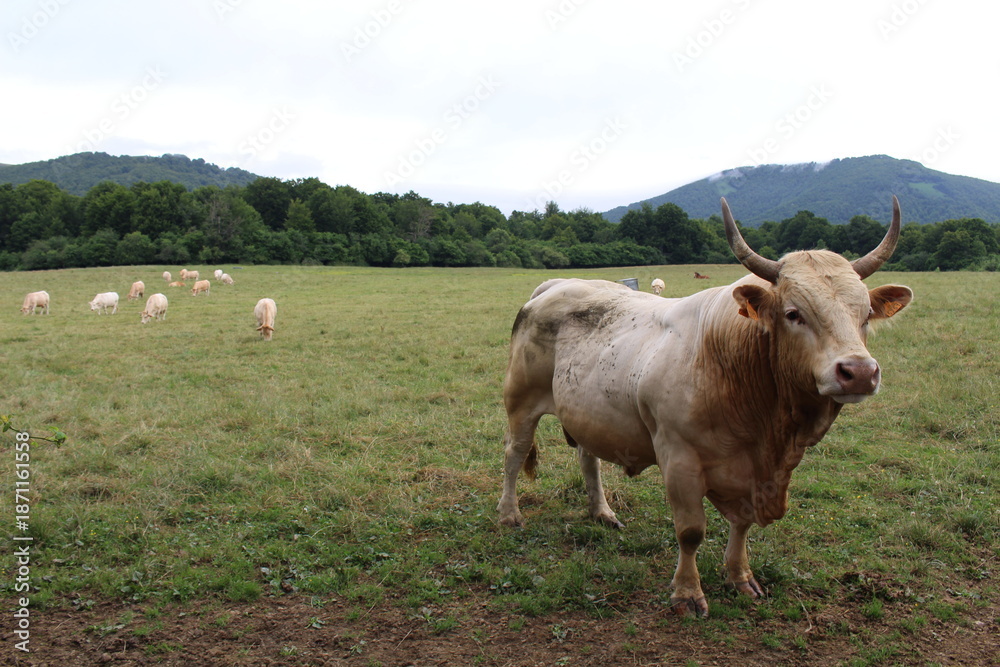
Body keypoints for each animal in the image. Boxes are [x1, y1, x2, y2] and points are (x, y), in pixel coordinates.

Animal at [498, 196, 913, 617]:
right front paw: (687, 592)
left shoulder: (750, 473)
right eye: (794, 313)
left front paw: (739, 575)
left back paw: (602, 512)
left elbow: (742, 524)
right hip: (521, 401)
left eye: (865, 316)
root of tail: (556, 284)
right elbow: (691, 531)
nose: (859, 372)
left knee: (588, 458)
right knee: (514, 455)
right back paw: (510, 514)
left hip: (588, 413)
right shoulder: (679, 459)